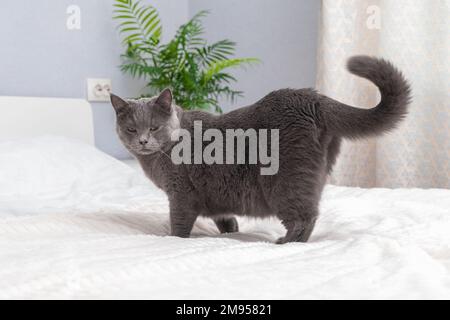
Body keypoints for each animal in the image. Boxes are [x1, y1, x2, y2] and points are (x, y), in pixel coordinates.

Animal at [110, 56, 412, 244]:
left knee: (304, 217)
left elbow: (179, 225)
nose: (142, 141)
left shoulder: (181, 194)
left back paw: (284, 242)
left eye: (154, 127)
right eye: (132, 129)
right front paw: (231, 233)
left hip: (285, 182)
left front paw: (173, 239)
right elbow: (226, 220)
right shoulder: (216, 199)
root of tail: (313, 99)